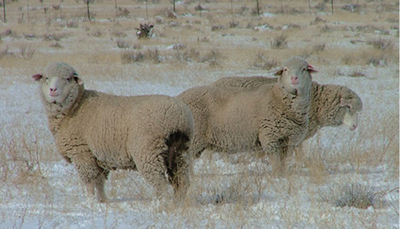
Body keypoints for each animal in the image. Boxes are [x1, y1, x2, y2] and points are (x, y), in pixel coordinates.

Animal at [31, 62, 194, 202]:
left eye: (68, 78)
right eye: (46, 78)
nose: (53, 90)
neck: (76, 106)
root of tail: (178, 116)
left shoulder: (82, 153)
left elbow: (89, 182)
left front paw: (90, 202)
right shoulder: (98, 157)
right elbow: (99, 182)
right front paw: (103, 201)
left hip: (148, 151)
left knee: (160, 183)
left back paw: (160, 205)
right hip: (181, 152)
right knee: (182, 181)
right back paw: (178, 204)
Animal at [177, 56, 316, 163]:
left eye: (304, 69)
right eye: (286, 69)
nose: (294, 78)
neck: (278, 97)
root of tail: (179, 98)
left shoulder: (288, 142)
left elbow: (283, 165)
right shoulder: (270, 138)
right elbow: (276, 164)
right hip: (194, 139)